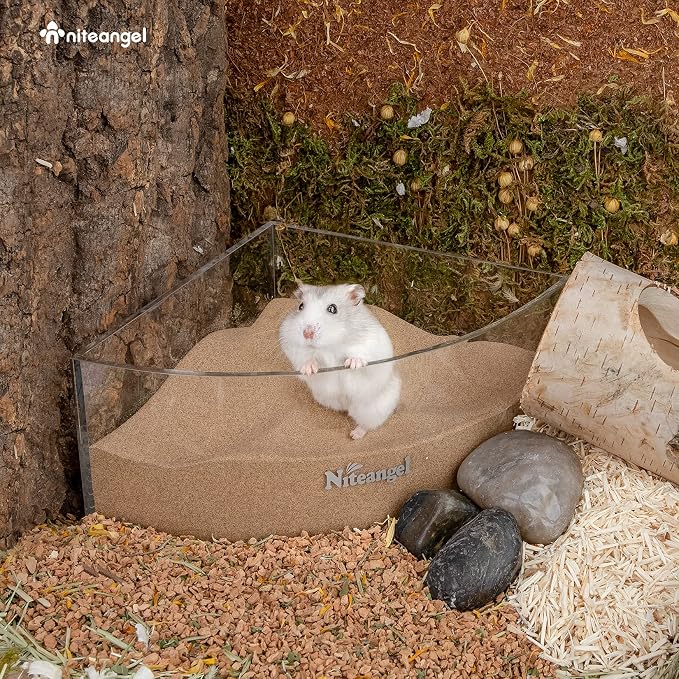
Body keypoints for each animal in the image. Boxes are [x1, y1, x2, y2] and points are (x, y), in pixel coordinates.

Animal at [279, 282, 401, 440]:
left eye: (333, 309)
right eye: (300, 306)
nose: (307, 333)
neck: (330, 345)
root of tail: (345, 406)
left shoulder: (372, 345)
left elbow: (362, 355)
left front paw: (353, 363)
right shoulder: (292, 346)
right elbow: (305, 358)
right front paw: (309, 369)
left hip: (372, 410)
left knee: (367, 425)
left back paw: (354, 435)